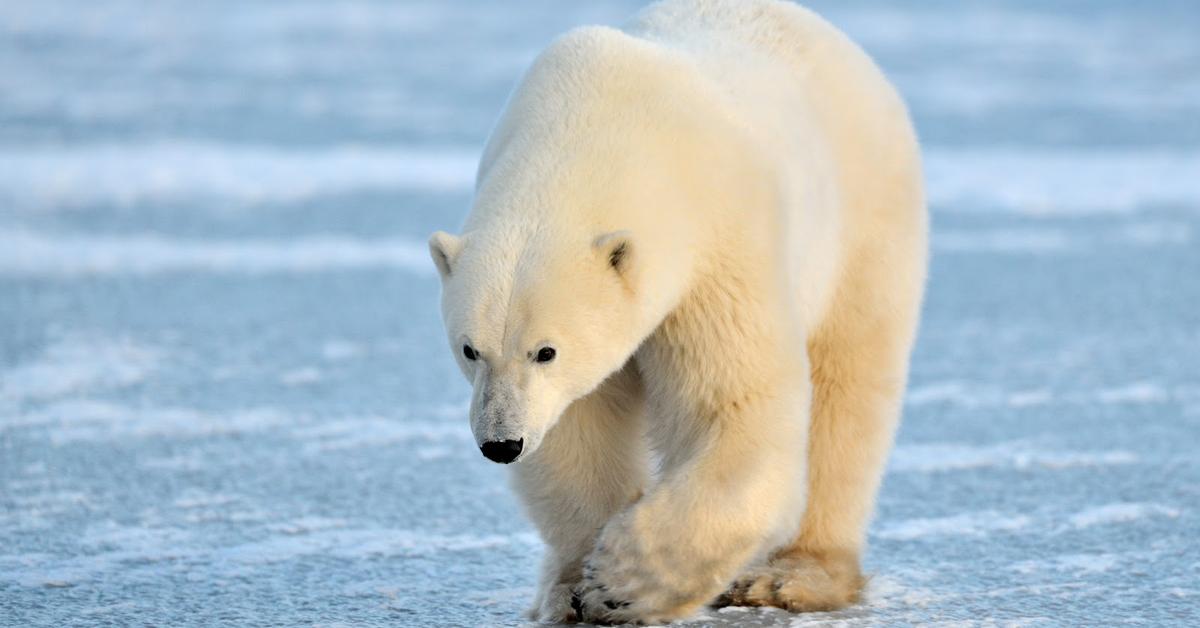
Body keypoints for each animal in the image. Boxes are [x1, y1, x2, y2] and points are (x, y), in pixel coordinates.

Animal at [432, 0, 926, 624]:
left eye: (546, 351)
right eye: (470, 349)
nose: (501, 443)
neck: (597, 125)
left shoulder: (717, 245)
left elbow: (733, 405)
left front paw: (622, 580)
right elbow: (576, 430)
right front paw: (578, 586)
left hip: (863, 225)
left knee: (848, 391)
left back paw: (793, 576)